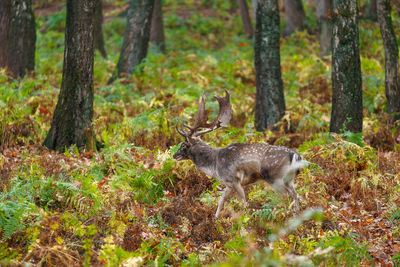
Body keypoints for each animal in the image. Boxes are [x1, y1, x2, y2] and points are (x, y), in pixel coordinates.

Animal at [172, 91, 306, 219]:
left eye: (183, 145)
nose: (174, 155)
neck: (214, 165)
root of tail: (296, 155)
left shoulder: (235, 180)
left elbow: (243, 203)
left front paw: (244, 220)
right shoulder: (228, 184)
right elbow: (221, 200)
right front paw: (216, 218)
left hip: (275, 177)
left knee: (287, 196)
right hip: (289, 179)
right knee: (296, 195)